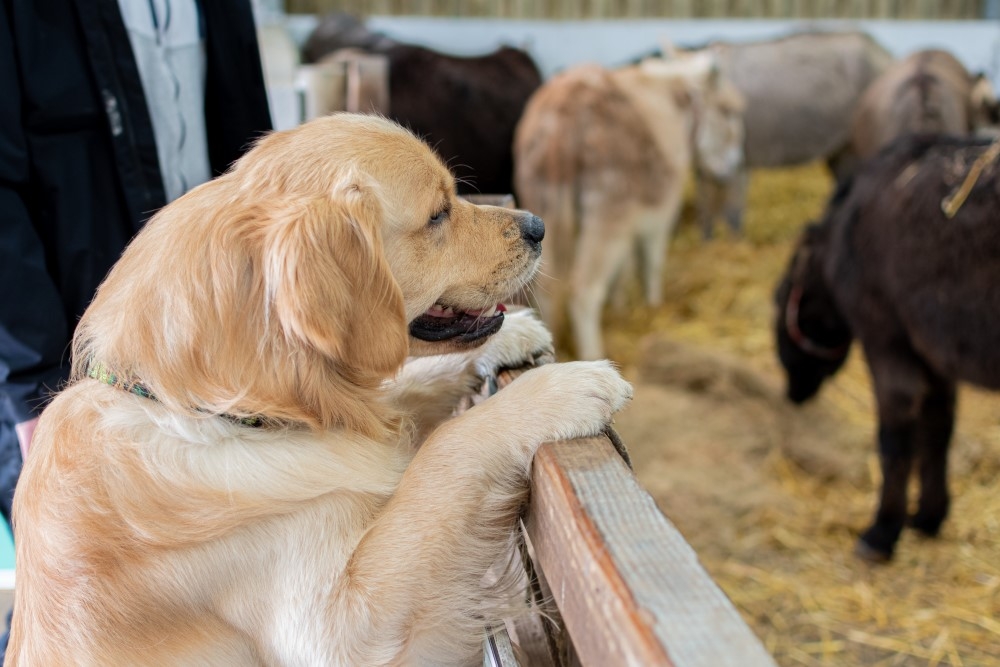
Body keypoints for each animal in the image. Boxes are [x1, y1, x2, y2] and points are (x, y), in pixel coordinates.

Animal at [5, 116, 632, 667]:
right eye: (437, 214)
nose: (537, 226)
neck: (215, 407)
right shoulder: (342, 627)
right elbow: (448, 447)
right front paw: (563, 387)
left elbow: (412, 395)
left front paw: (514, 337)